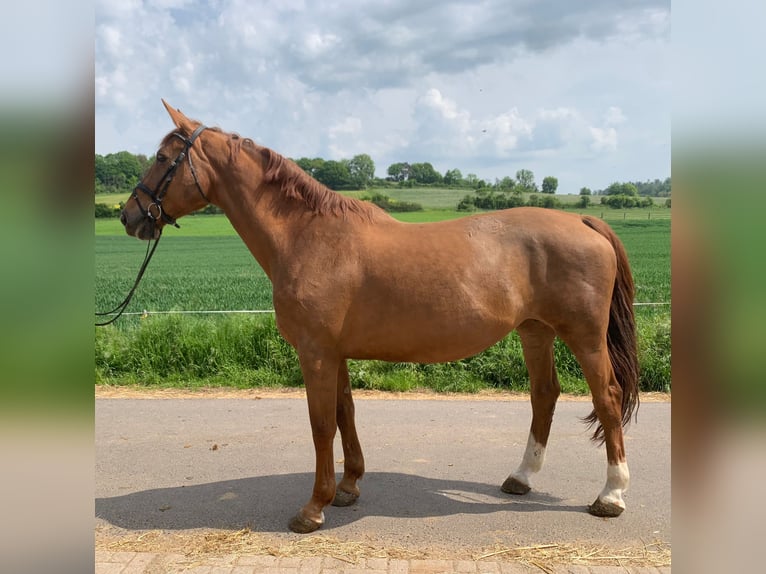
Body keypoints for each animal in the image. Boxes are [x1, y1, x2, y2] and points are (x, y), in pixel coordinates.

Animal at [120, 102, 640, 536]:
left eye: (163, 158)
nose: (128, 215)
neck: (308, 236)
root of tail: (582, 221)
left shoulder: (315, 353)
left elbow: (321, 425)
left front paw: (313, 508)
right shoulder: (335, 353)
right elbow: (345, 413)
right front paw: (348, 488)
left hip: (584, 336)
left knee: (608, 397)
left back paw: (611, 495)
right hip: (536, 332)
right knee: (544, 395)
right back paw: (521, 477)